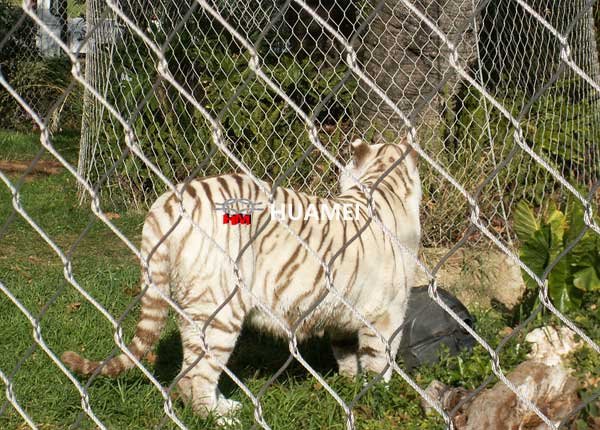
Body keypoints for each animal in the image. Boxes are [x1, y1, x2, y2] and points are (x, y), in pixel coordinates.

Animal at [59, 139, 418, 420]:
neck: (385, 189)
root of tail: (169, 202)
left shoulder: (342, 313)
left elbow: (345, 354)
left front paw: (348, 384)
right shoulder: (386, 315)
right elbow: (378, 363)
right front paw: (376, 398)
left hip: (194, 309)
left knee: (189, 370)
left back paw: (222, 406)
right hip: (219, 309)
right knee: (200, 374)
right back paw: (219, 417)